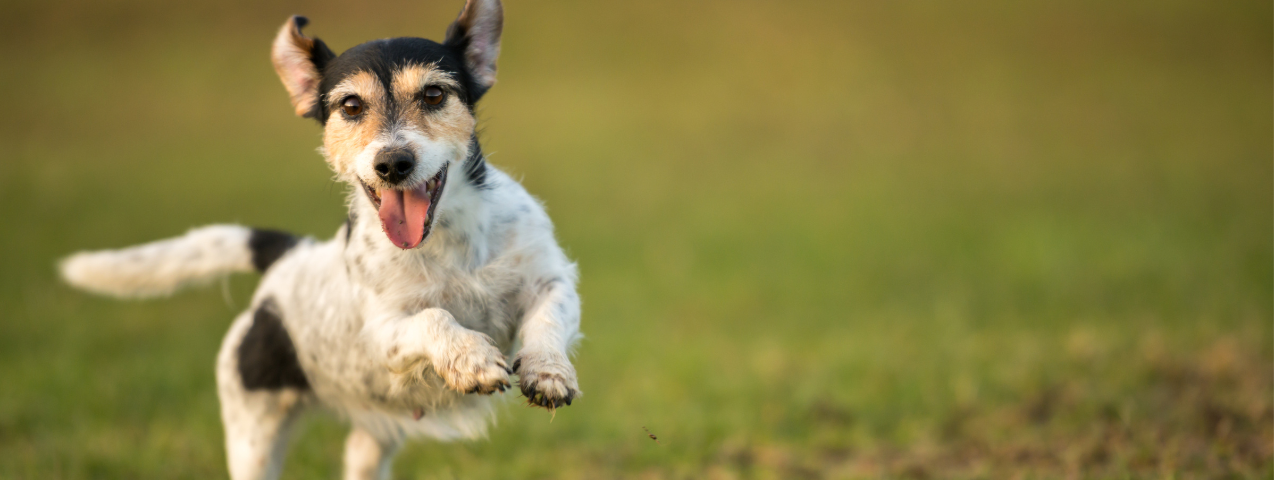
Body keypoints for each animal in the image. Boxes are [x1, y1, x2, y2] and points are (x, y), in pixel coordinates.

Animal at [56, 1, 583, 476]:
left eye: (434, 95)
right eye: (351, 106)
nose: (393, 163)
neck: (446, 243)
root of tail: (287, 260)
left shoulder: (552, 280)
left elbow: (547, 318)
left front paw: (548, 371)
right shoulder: (383, 334)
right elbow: (434, 318)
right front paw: (471, 358)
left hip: (370, 442)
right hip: (252, 436)